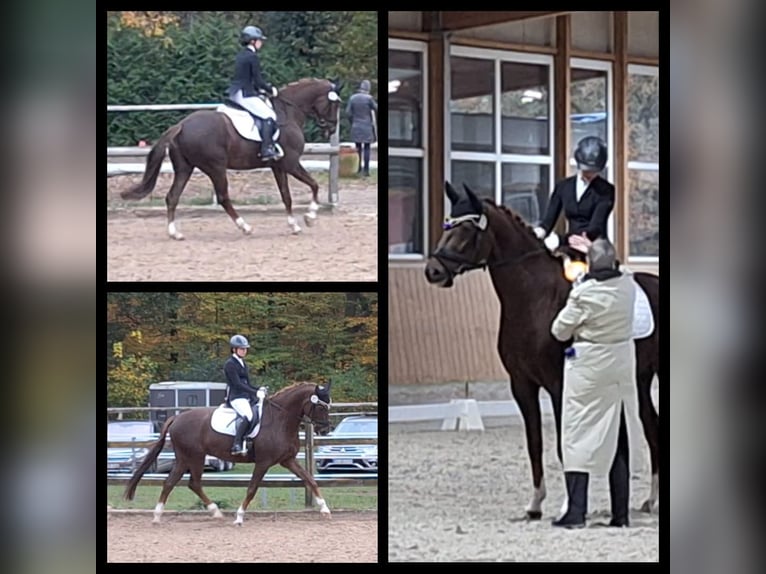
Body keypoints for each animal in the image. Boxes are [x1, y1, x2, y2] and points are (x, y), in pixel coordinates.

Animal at [124, 382, 332, 528]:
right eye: (321, 407)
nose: (325, 430)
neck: (281, 420)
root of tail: (177, 417)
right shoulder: (263, 462)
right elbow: (252, 489)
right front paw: (239, 518)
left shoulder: (287, 460)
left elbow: (310, 480)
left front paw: (325, 509)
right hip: (194, 457)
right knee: (191, 483)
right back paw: (213, 512)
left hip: (185, 458)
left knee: (173, 482)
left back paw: (160, 516)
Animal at [426, 183, 660, 520]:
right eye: (447, 225)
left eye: (467, 229)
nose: (432, 271)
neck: (533, 299)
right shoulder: (522, 385)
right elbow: (534, 443)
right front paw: (535, 505)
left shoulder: (559, 384)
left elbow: (565, 443)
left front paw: (566, 507)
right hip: (639, 380)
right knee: (653, 427)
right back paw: (651, 500)